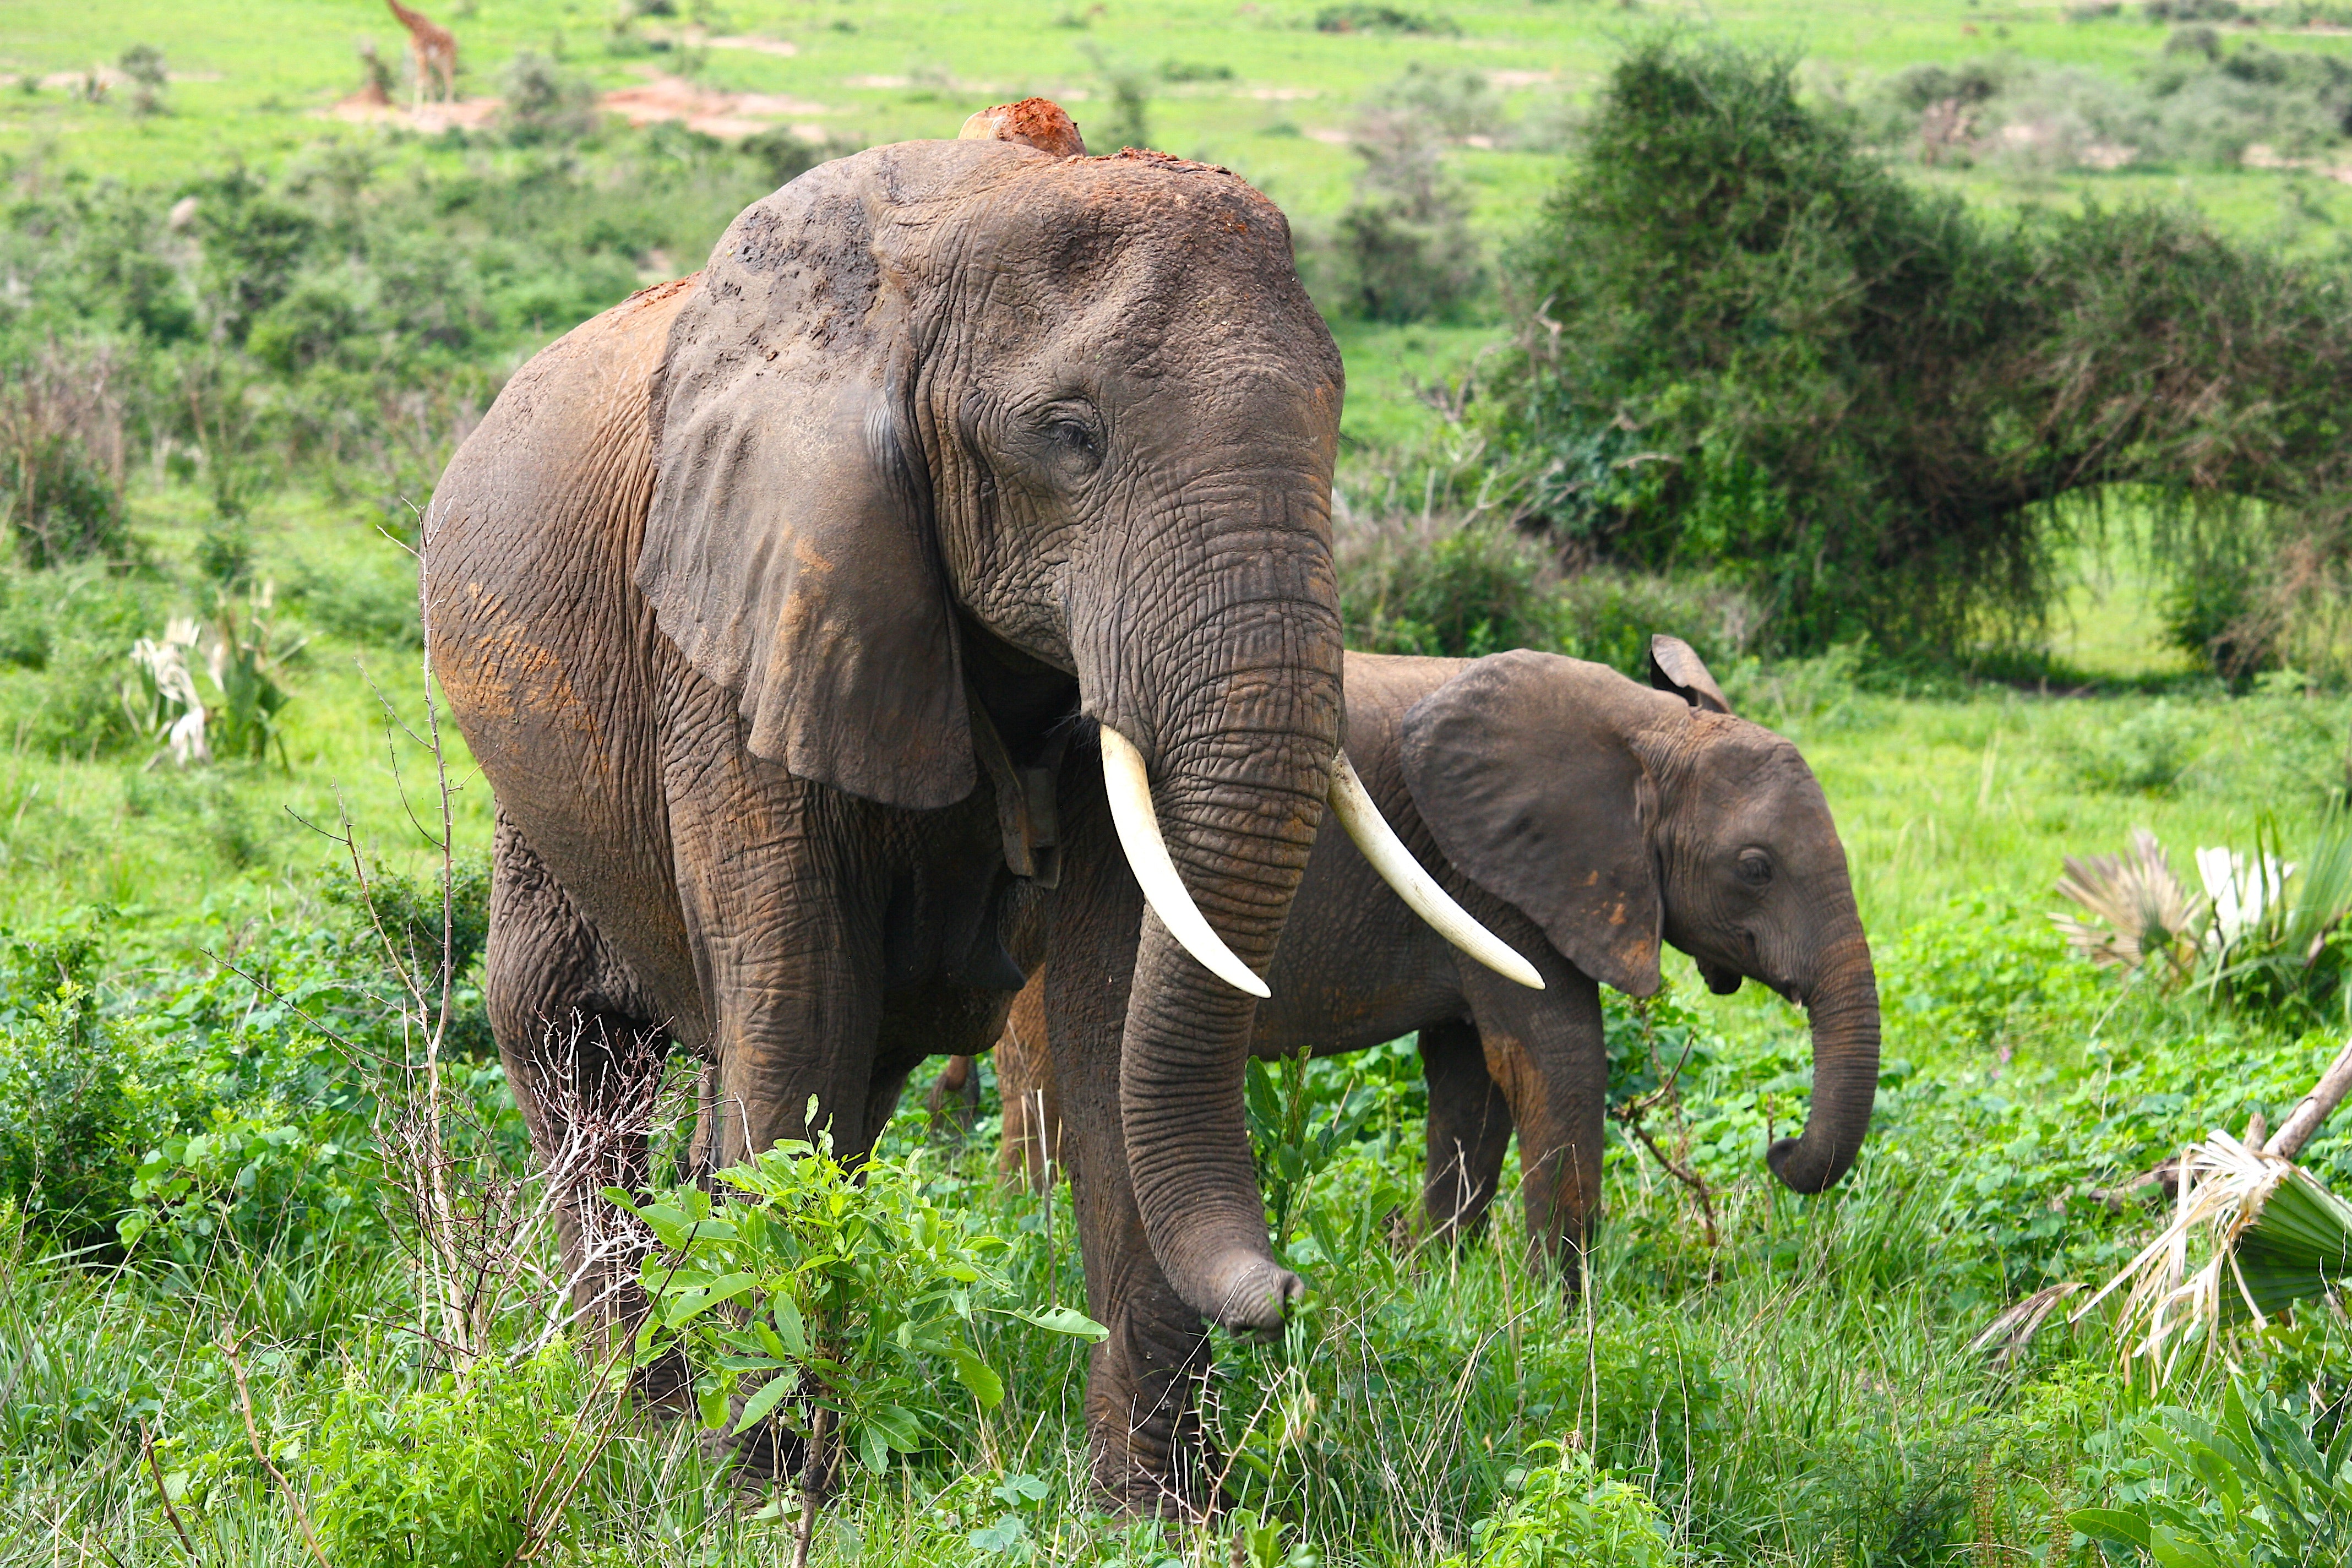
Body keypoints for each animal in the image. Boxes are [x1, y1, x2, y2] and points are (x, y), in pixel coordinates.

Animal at [385, 1, 454, 110]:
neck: (413, 26)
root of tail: (454, 40)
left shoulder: (421, 56)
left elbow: (420, 83)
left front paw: (416, 112)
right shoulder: (421, 57)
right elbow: (427, 82)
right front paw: (431, 109)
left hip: (448, 58)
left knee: (449, 80)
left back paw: (448, 110)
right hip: (437, 61)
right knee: (444, 80)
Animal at [426, 107, 1524, 1504]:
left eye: (1335, 422)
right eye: (1071, 435)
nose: (1288, 1289)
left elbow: (1113, 1009)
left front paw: (1156, 1507)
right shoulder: (743, 615)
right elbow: (798, 994)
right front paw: (773, 1485)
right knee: (577, 1039)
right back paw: (652, 1420)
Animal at [936, 639, 1872, 1278]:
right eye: (1755, 869)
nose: (1780, 1148)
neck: (1653, 726)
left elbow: (1473, 1076)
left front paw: (1438, 1274)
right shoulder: (1496, 877)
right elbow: (1555, 1058)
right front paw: (1561, 1305)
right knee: (1043, 1078)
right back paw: (1025, 1240)